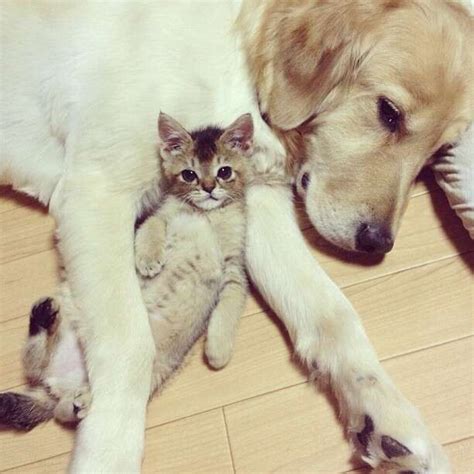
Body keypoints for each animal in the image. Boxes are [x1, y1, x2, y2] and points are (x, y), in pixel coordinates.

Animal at [0, 112, 252, 430]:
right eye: (189, 174)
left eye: (224, 171)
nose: (208, 188)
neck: (205, 215)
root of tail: (62, 381)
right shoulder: (158, 215)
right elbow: (151, 229)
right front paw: (148, 259)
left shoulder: (234, 267)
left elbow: (228, 307)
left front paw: (218, 350)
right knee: (36, 368)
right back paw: (43, 319)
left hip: (149, 372)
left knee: (60, 407)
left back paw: (79, 396)